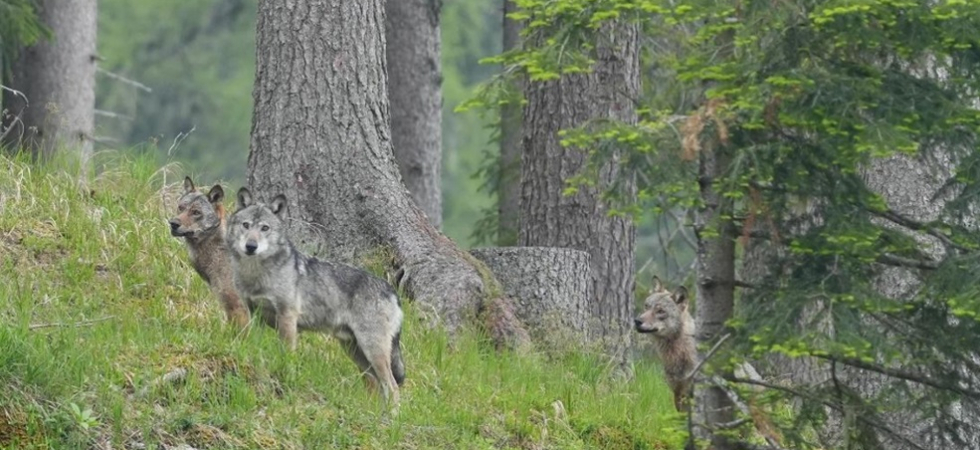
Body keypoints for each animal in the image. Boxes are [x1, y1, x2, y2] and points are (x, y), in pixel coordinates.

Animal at [225, 188, 405, 404]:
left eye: (265, 228)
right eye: (246, 225)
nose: (251, 246)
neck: (257, 275)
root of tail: (392, 291)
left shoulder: (287, 317)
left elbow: (287, 354)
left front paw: (286, 376)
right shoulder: (255, 315)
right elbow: (257, 347)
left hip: (372, 350)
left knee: (393, 387)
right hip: (356, 353)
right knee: (378, 387)